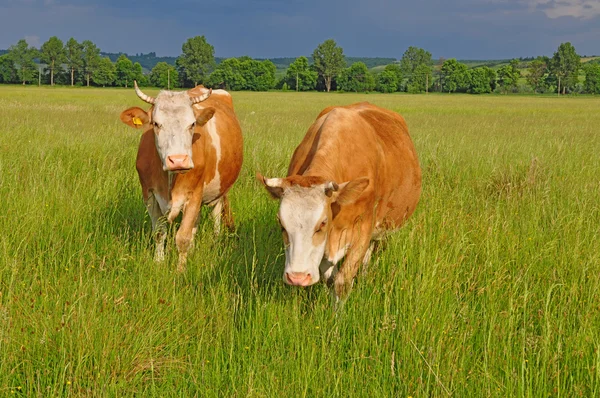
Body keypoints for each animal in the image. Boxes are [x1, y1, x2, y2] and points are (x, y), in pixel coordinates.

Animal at [120, 82, 243, 272]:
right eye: (156, 123)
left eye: (192, 124)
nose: (178, 160)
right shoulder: (149, 194)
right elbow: (159, 233)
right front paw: (159, 262)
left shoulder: (194, 194)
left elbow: (183, 237)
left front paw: (180, 270)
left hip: (220, 189)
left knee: (215, 215)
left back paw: (215, 241)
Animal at [258, 102, 422, 298]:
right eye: (281, 224)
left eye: (322, 223)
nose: (297, 277)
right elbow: (330, 279)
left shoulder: (363, 230)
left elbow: (342, 282)